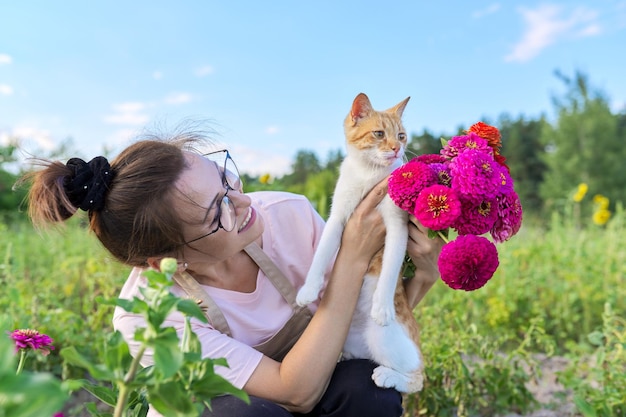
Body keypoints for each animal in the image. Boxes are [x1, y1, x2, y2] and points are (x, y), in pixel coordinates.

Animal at [294, 92, 422, 392]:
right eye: (379, 134)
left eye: (401, 136)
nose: (397, 149)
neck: (369, 173)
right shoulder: (337, 217)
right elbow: (321, 254)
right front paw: (308, 289)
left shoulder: (397, 226)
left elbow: (390, 268)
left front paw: (382, 307)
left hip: (384, 339)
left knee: (418, 379)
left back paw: (389, 376)